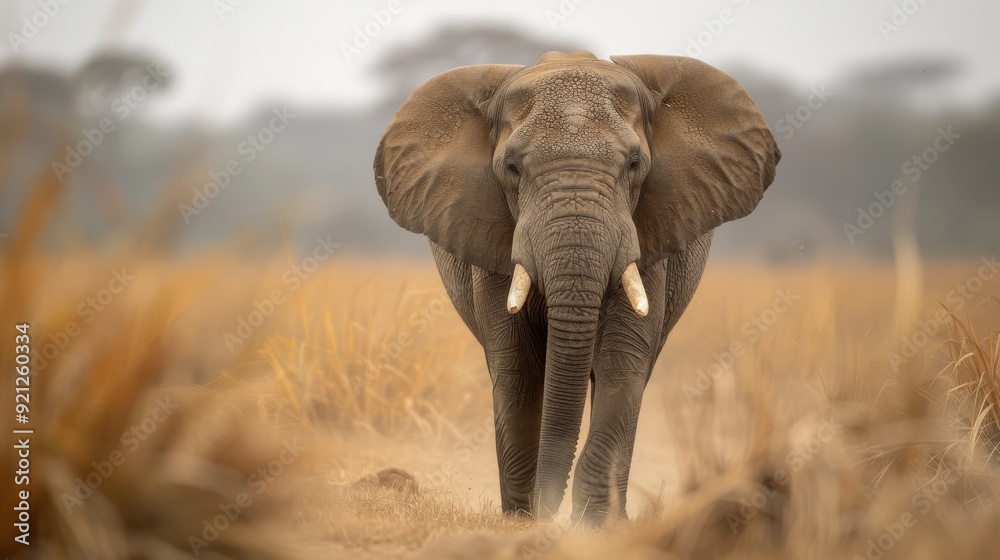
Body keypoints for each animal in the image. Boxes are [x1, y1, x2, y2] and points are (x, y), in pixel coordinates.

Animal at [373, 50, 780, 525]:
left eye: (634, 164)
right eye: (512, 168)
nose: (548, 509)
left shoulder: (647, 235)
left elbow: (621, 363)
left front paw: (594, 525)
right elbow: (518, 369)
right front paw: (523, 521)